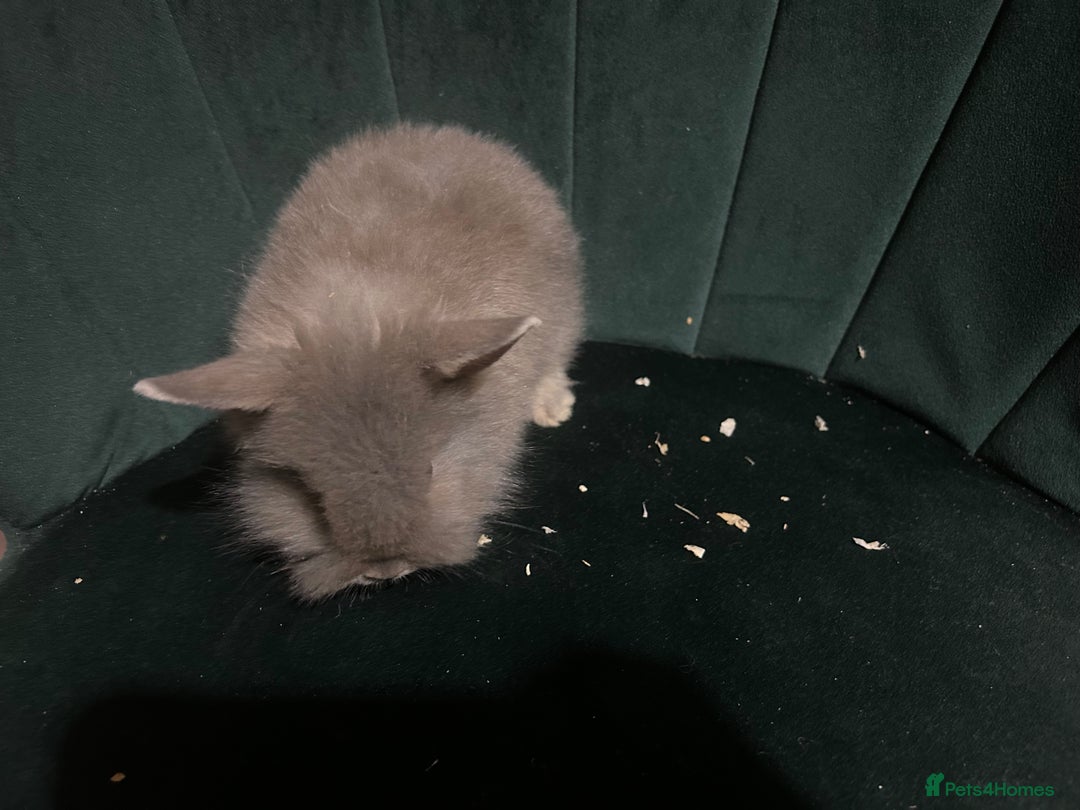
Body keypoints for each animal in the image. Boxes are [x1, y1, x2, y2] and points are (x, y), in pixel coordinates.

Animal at [134, 123, 583, 600]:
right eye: (309, 494)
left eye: (429, 471)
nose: (385, 571)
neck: (355, 317)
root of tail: (443, 133)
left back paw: (552, 409)